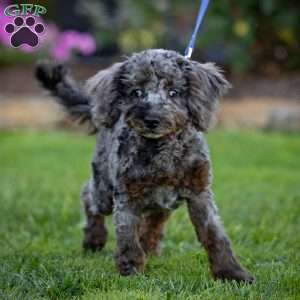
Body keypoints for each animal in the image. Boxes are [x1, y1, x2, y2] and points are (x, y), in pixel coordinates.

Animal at [36, 48, 254, 282]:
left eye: (174, 92)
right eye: (136, 92)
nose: (151, 119)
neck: (163, 150)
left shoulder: (199, 192)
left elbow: (214, 235)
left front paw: (232, 273)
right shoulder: (126, 195)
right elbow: (127, 237)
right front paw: (131, 271)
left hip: (164, 203)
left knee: (153, 221)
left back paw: (149, 246)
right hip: (104, 190)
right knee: (88, 195)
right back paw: (94, 240)